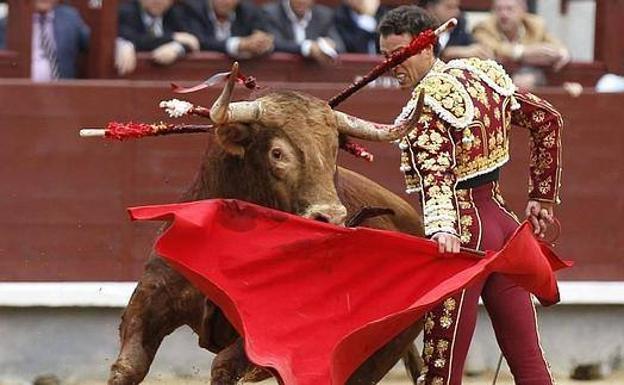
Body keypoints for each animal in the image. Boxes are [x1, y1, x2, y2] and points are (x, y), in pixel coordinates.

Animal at [109, 63, 426, 384]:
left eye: (333, 151)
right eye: (277, 153)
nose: (332, 217)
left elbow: (224, 366)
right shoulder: (152, 296)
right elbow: (128, 365)